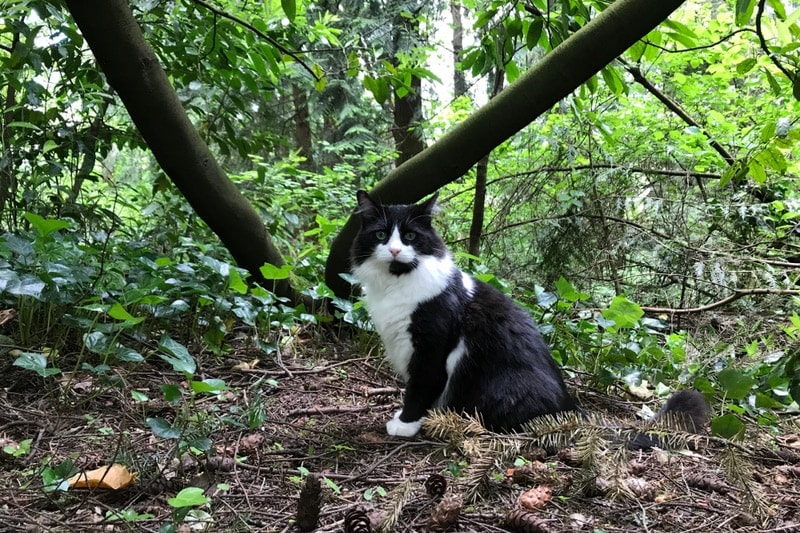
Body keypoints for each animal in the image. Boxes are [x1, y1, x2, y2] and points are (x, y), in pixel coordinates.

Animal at [350, 190, 708, 440]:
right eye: (382, 235)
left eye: (410, 236)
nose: (395, 249)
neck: (396, 285)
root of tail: (570, 407)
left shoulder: (431, 349)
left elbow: (420, 388)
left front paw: (406, 424)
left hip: (503, 385)